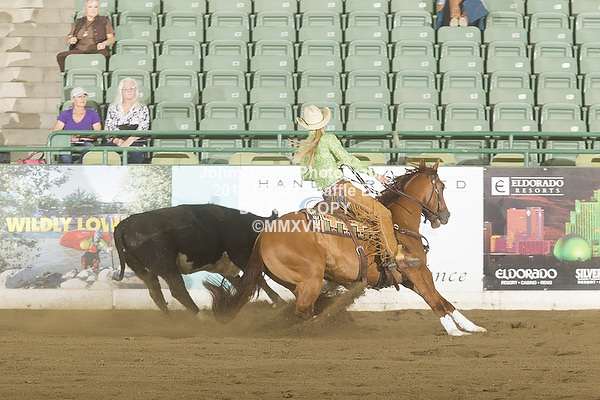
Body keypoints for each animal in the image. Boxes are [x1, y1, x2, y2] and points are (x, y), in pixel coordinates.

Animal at [113, 204, 282, 316]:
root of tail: (124, 225)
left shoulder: (224, 267)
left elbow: (242, 283)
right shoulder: (240, 256)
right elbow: (259, 280)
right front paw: (280, 303)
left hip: (144, 271)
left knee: (156, 294)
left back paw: (171, 319)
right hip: (166, 266)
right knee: (178, 291)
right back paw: (201, 317)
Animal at [205, 160, 486, 336]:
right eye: (441, 188)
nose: (445, 215)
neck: (398, 223)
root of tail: (264, 235)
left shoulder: (409, 278)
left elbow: (444, 300)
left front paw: (472, 327)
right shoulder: (417, 272)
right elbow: (435, 300)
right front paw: (454, 331)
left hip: (297, 283)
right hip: (311, 278)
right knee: (305, 312)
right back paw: (323, 328)